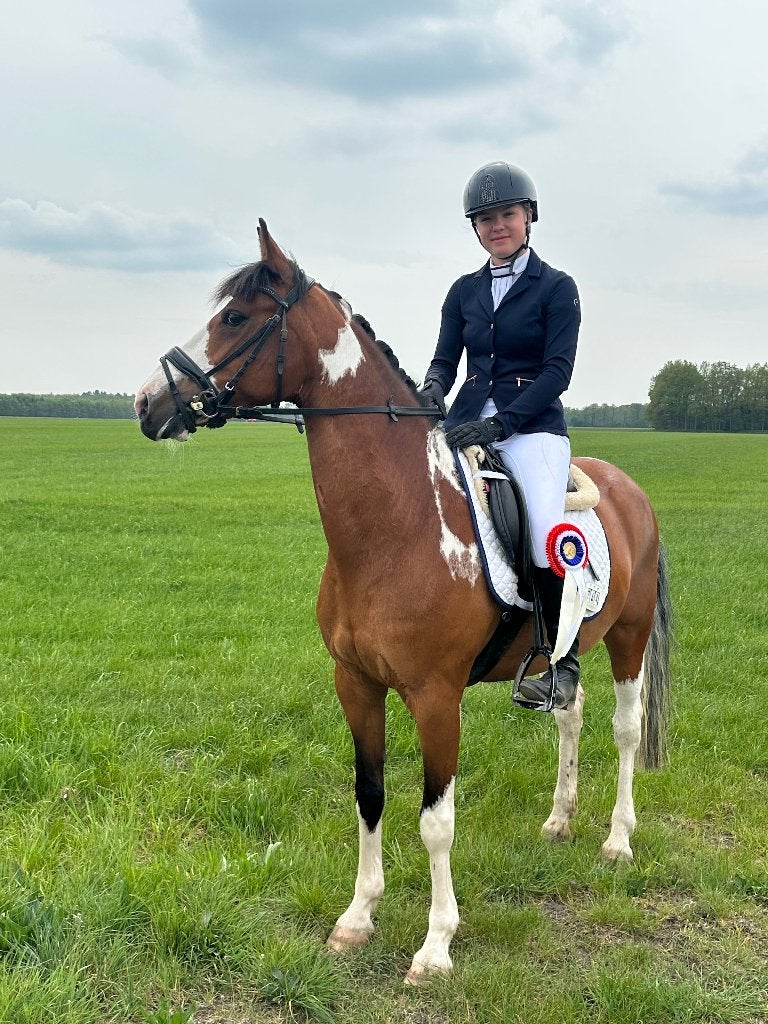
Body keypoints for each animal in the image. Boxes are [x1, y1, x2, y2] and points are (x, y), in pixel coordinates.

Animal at [135, 220, 672, 985]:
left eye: (234, 318)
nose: (147, 402)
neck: (395, 527)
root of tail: (627, 487)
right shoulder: (356, 683)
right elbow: (370, 795)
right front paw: (357, 919)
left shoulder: (435, 696)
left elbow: (435, 821)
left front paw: (436, 945)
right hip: (564, 650)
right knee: (570, 710)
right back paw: (559, 821)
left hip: (628, 635)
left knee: (626, 728)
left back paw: (617, 841)